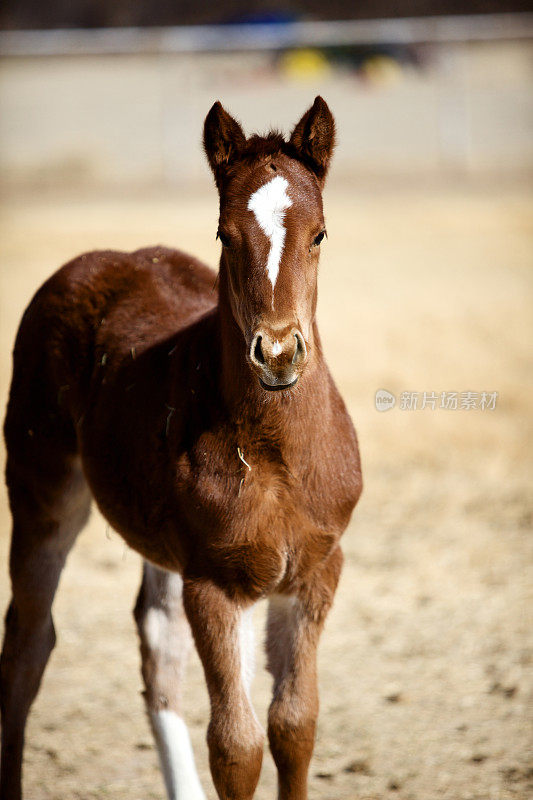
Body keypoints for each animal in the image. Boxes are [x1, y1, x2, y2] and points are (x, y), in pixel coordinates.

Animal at [0, 98, 362, 800]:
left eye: (320, 234)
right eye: (224, 234)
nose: (278, 353)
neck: (275, 455)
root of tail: (96, 260)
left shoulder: (313, 572)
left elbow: (294, 726)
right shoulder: (216, 584)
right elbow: (237, 747)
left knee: (156, 644)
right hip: (41, 494)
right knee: (26, 648)